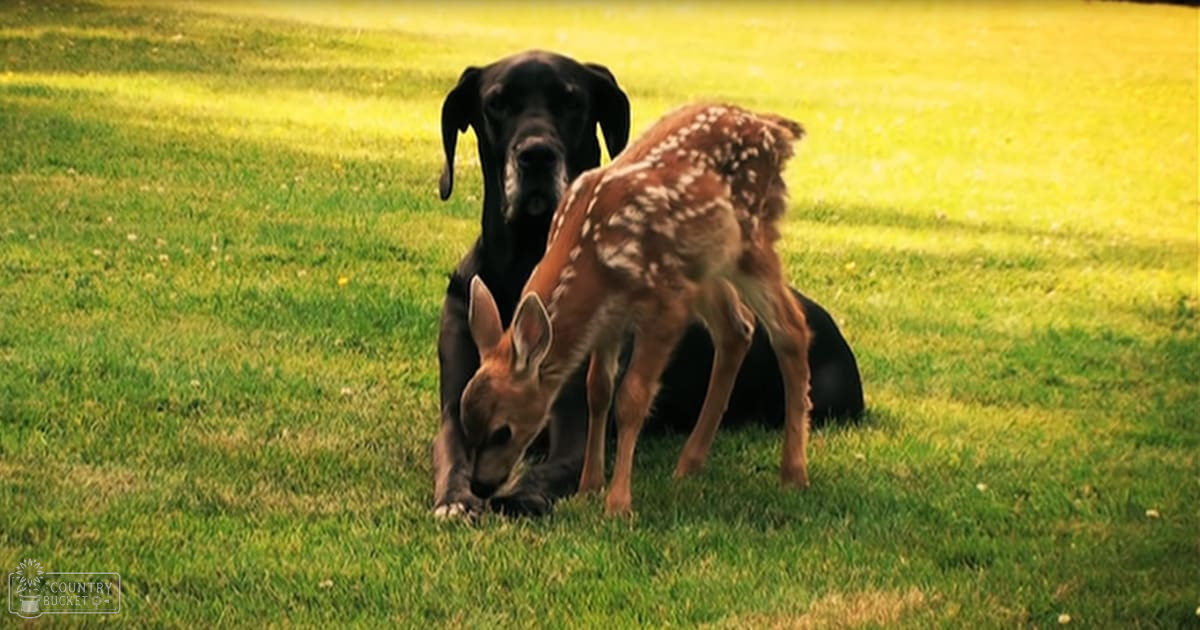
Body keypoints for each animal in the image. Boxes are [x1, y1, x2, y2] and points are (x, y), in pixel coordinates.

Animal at [458, 103, 813, 516]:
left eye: (503, 431)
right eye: (466, 424)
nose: (481, 486)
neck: (594, 255)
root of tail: (776, 128)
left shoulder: (665, 304)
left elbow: (632, 398)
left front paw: (618, 503)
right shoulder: (609, 319)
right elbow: (597, 390)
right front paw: (588, 486)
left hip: (750, 240)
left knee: (791, 329)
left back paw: (793, 473)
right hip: (703, 266)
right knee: (736, 329)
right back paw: (689, 464)